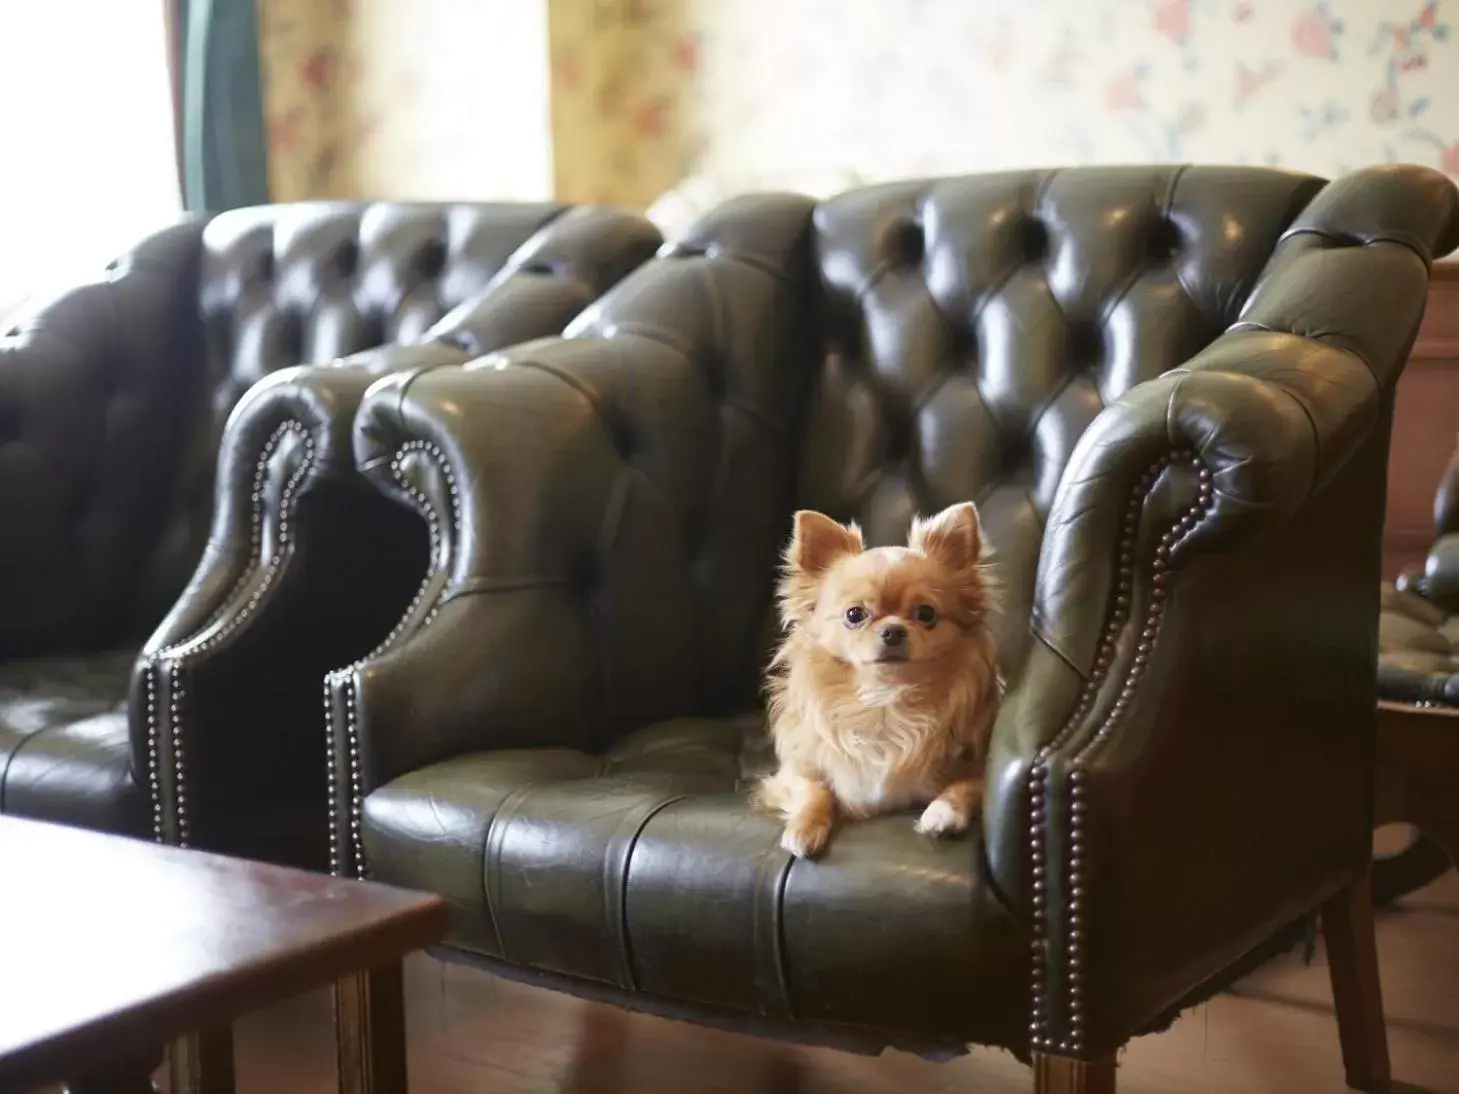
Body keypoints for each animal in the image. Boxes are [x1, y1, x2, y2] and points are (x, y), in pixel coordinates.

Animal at [752, 501, 1003, 863]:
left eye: (926, 614)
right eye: (854, 615)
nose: (893, 630)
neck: (885, 700)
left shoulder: (978, 765)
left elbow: (966, 785)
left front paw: (943, 812)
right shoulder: (794, 770)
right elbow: (815, 788)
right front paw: (803, 827)